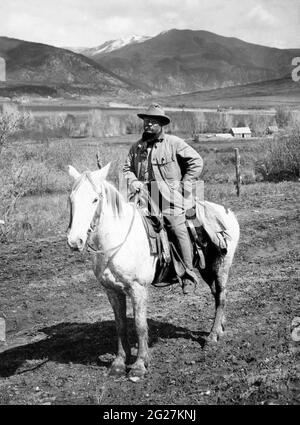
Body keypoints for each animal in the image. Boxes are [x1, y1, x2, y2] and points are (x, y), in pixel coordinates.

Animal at [67, 162, 239, 378]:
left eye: (95, 199)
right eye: (71, 199)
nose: (75, 241)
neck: (117, 241)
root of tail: (226, 212)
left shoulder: (138, 289)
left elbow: (140, 326)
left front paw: (140, 365)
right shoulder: (111, 290)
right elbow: (120, 325)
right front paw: (119, 363)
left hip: (222, 266)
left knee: (221, 296)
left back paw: (213, 335)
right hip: (207, 269)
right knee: (217, 294)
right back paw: (220, 328)